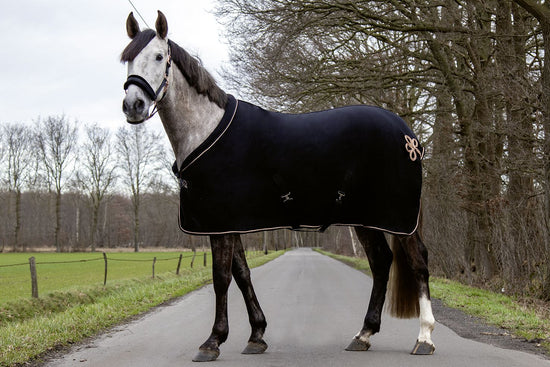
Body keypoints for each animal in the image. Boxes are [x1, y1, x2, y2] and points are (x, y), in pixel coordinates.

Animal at [119, 10, 436, 362]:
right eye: (127, 59)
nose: (133, 105)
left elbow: (221, 278)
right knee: (381, 263)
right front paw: (256, 335)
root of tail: (409, 137)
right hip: (366, 220)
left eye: (159, 57)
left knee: (418, 262)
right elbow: (242, 275)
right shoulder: (230, 223)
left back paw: (424, 338)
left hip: (399, 219)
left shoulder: (220, 225)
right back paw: (363, 334)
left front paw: (212, 341)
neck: (205, 130)